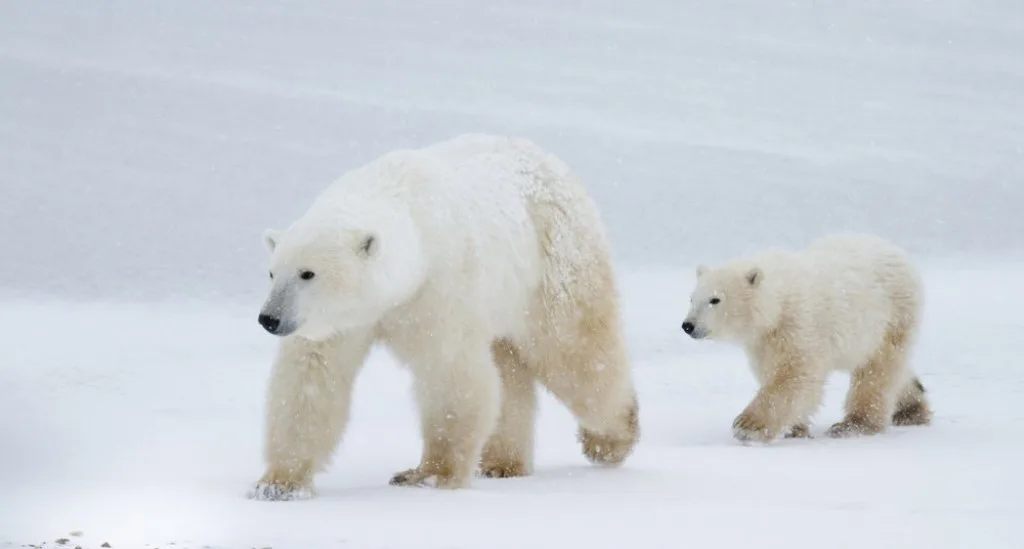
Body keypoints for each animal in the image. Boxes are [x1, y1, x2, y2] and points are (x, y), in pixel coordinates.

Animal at [248, 134, 640, 500]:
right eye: (272, 273)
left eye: (308, 273)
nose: (269, 319)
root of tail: (557, 165)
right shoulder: (340, 322)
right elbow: (311, 379)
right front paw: (277, 484)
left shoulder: (441, 286)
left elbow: (449, 373)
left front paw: (429, 475)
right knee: (509, 369)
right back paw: (502, 463)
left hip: (554, 264)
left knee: (575, 355)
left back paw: (610, 439)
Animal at [680, 233, 932, 443]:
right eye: (692, 298)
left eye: (715, 300)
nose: (688, 325)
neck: (779, 301)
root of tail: (895, 250)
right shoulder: (763, 340)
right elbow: (771, 371)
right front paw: (795, 428)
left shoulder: (799, 324)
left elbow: (794, 375)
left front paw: (748, 426)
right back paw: (911, 408)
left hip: (892, 315)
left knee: (878, 369)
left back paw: (853, 424)